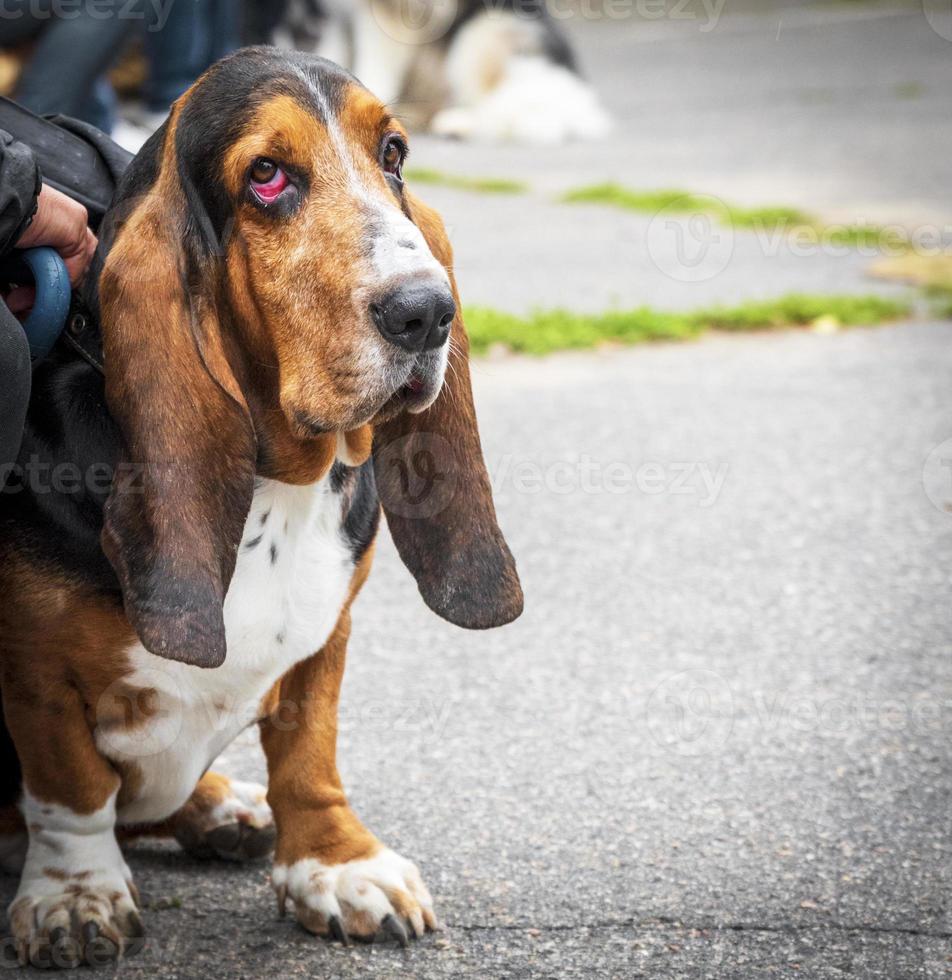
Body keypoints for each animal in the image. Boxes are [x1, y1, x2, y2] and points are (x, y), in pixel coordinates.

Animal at [0, 44, 520, 964]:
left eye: (394, 154)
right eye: (267, 176)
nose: (428, 312)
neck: (282, 488)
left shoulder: (330, 631)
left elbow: (309, 749)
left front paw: (337, 863)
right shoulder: (34, 666)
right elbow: (70, 784)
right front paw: (73, 896)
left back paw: (221, 806)